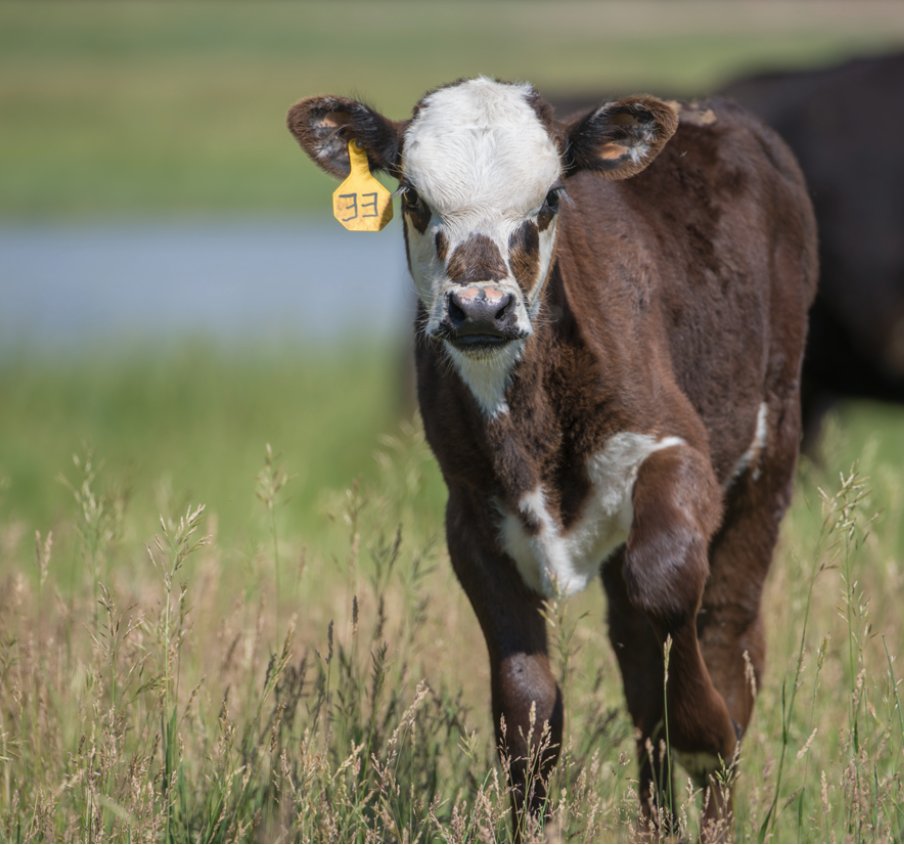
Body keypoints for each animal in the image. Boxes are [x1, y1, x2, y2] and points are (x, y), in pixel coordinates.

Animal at [287, 77, 817, 838]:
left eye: (549, 199)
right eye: (412, 196)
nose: (480, 308)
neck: (528, 434)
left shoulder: (678, 451)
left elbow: (668, 590)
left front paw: (702, 736)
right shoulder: (472, 517)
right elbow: (528, 709)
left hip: (768, 455)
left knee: (728, 639)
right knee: (639, 666)